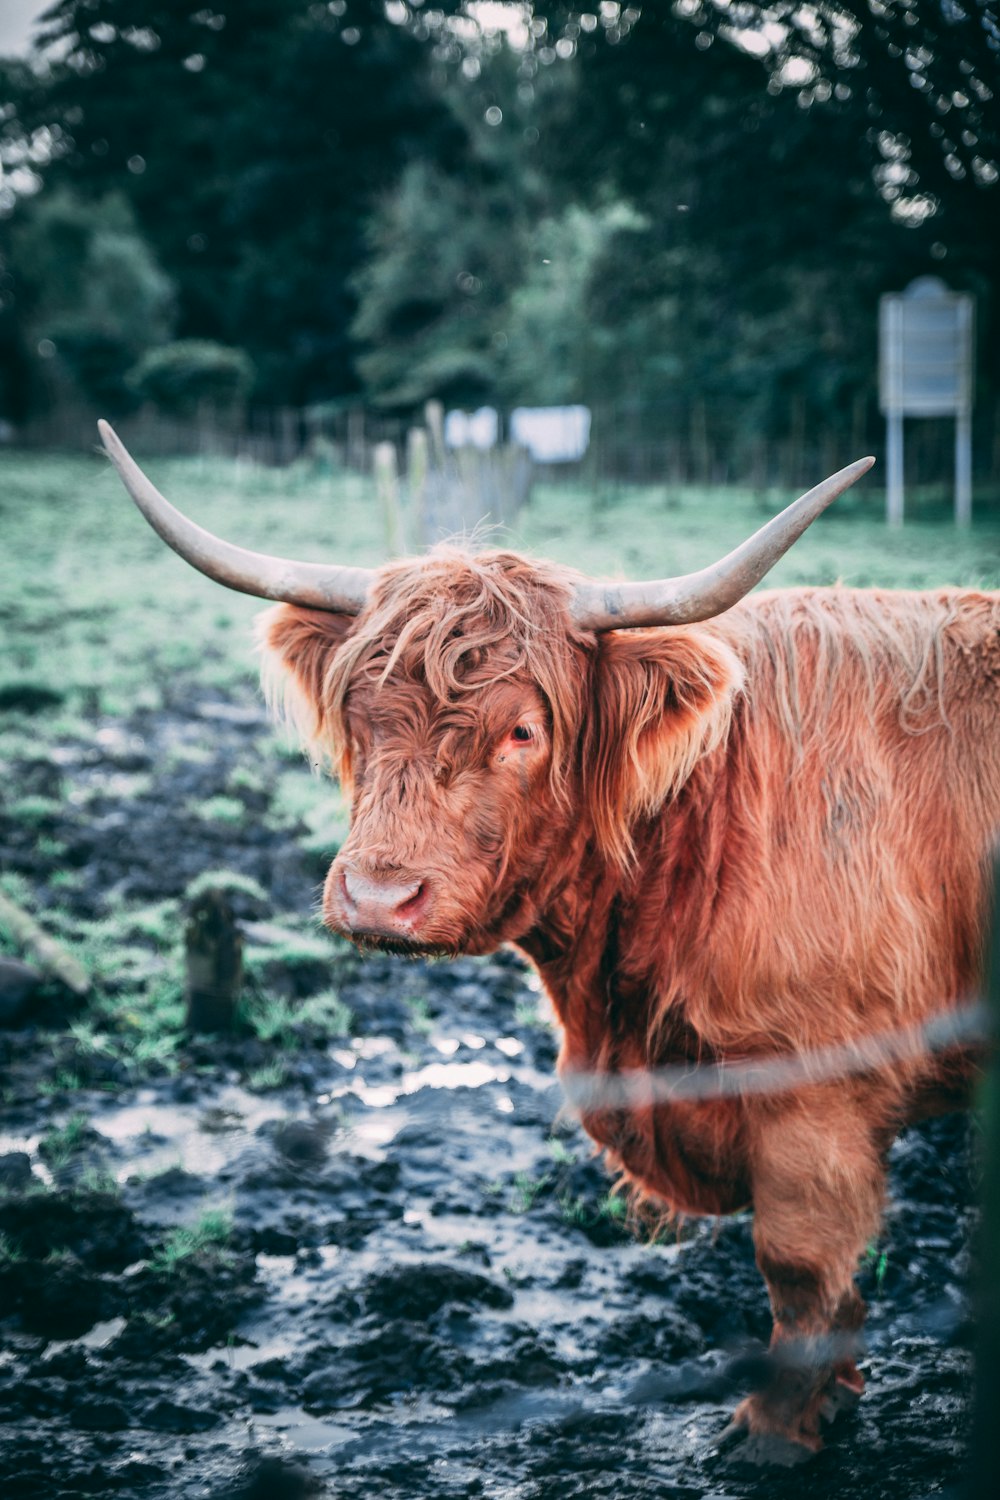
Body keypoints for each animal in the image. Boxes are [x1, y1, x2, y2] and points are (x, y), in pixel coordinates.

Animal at [95, 423, 1000, 1452]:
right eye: (360, 718)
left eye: (522, 730)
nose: (377, 898)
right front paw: (832, 1399)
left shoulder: (814, 1090)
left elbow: (798, 1264)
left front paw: (773, 1431)